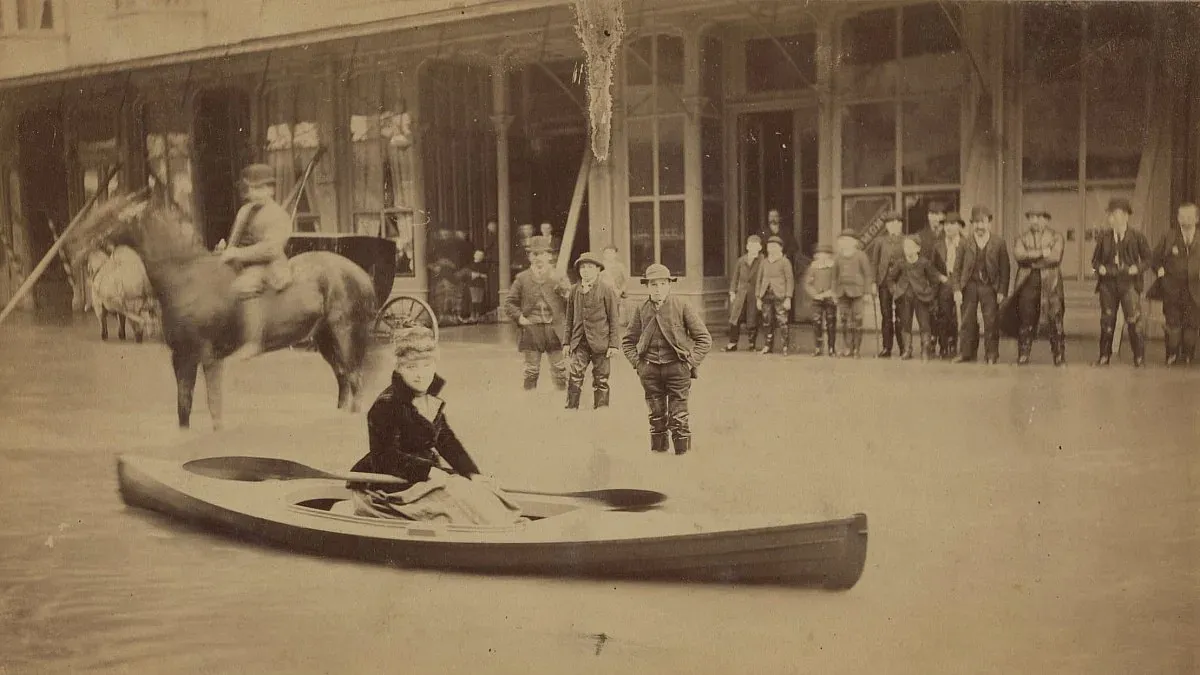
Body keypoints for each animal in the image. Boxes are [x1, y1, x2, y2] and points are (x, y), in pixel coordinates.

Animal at [68, 192, 376, 427]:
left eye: (108, 216)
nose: (74, 244)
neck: (186, 277)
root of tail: (362, 275)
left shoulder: (209, 358)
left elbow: (214, 409)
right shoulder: (182, 357)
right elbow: (184, 408)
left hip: (344, 335)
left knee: (355, 380)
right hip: (325, 338)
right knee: (343, 380)